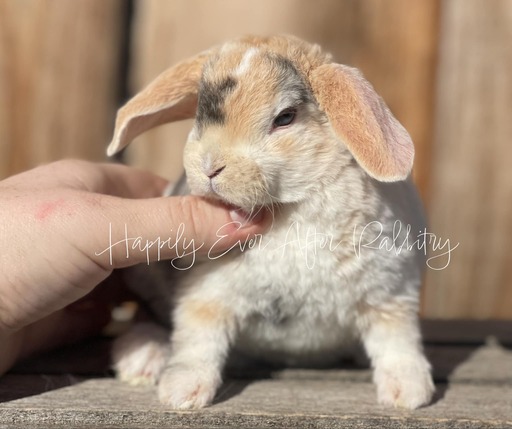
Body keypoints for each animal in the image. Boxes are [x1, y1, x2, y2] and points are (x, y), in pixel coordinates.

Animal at [108, 35, 436, 410]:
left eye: (285, 117)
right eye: (199, 114)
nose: (210, 167)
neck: (286, 210)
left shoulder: (389, 293)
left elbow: (396, 341)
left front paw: (407, 395)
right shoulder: (207, 292)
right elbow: (197, 339)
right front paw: (182, 393)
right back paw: (142, 358)